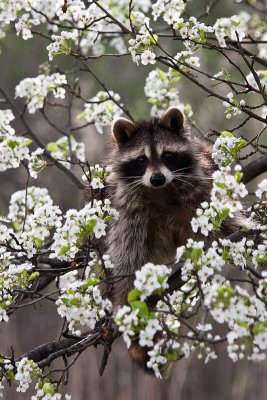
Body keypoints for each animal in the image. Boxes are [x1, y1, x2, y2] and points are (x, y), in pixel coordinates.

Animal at [106, 106, 241, 306]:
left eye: (168, 155)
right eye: (141, 159)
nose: (157, 178)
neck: (161, 190)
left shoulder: (202, 192)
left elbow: (227, 224)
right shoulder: (129, 214)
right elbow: (127, 259)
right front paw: (126, 301)